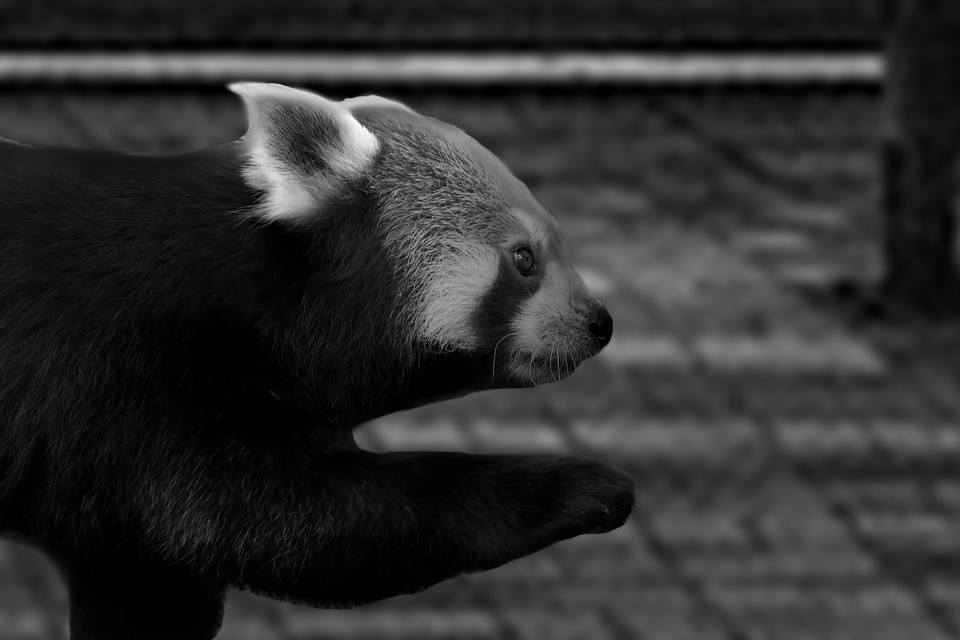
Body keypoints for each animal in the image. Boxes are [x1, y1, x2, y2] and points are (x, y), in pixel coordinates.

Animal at [0, 83, 637, 640]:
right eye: (524, 260)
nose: (600, 324)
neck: (266, 293)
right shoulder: (142, 373)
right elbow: (290, 520)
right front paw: (582, 484)